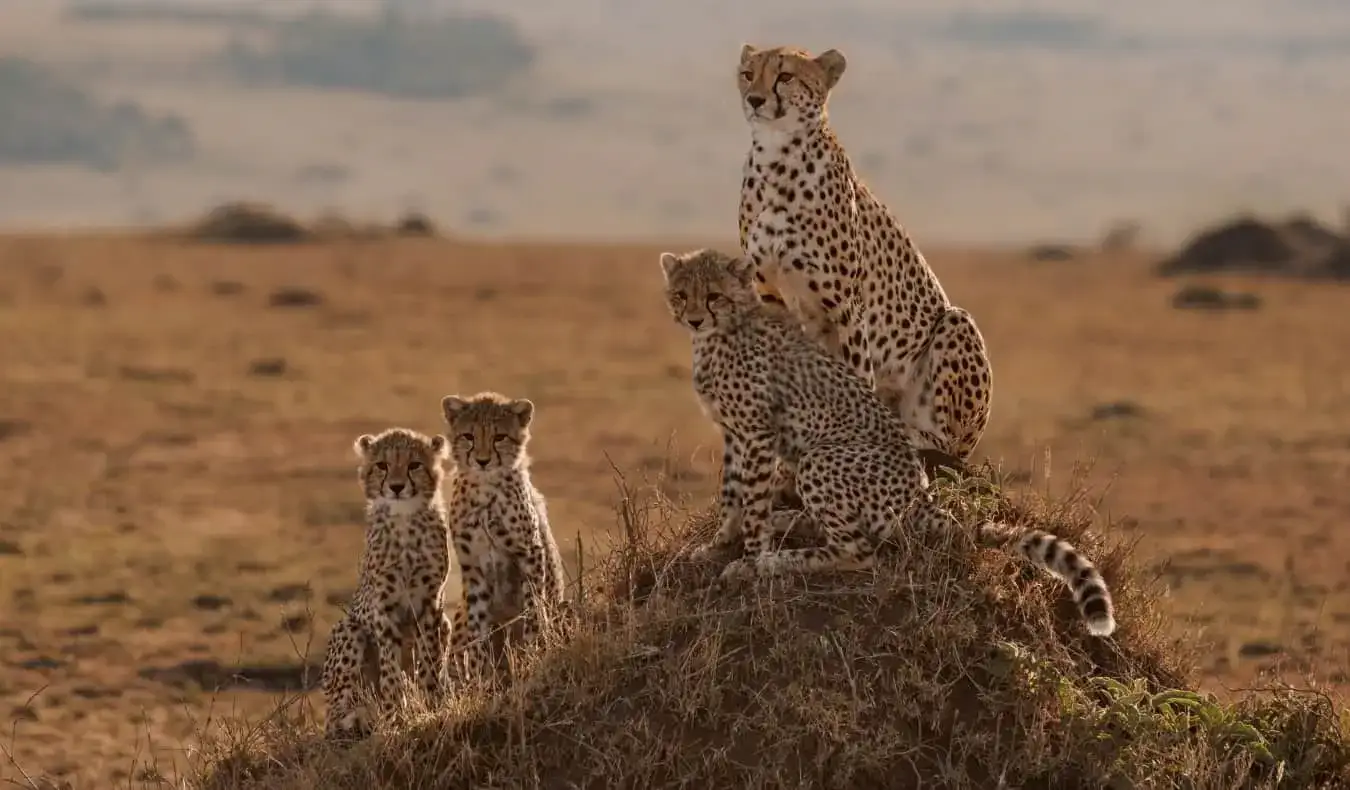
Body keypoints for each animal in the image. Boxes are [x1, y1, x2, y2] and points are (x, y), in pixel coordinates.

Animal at [319, 424, 453, 740]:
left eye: (414, 465)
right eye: (382, 465)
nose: (396, 487)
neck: (405, 520)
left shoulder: (430, 604)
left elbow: (429, 660)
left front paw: (431, 706)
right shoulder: (383, 607)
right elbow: (391, 669)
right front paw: (396, 715)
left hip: (445, 623)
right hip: (349, 629)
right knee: (335, 715)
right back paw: (357, 720)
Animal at [440, 391, 567, 680]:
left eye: (499, 437)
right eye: (469, 436)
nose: (483, 460)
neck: (485, 491)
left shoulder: (529, 553)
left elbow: (533, 609)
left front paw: (532, 652)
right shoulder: (473, 567)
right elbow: (477, 626)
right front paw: (478, 674)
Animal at [658, 249, 1112, 637]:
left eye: (713, 296)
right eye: (681, 294)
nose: (694, 319)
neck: (726, 328)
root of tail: (921, 495)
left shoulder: (756, 433)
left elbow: (750, 503)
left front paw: (749, 561)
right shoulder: (735, 433)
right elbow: (731, 495)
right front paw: (718, 544)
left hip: (821, 459)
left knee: (859, 553)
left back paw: (777, 560)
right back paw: (787, 522)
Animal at [739, 43, 993, 467]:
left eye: (785, 76)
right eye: (747, 73)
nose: (754, 99)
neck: (777, 158)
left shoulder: (845, 306)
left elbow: (857, 374)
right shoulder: (771, 296)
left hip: (955, 325)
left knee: (947, 447)